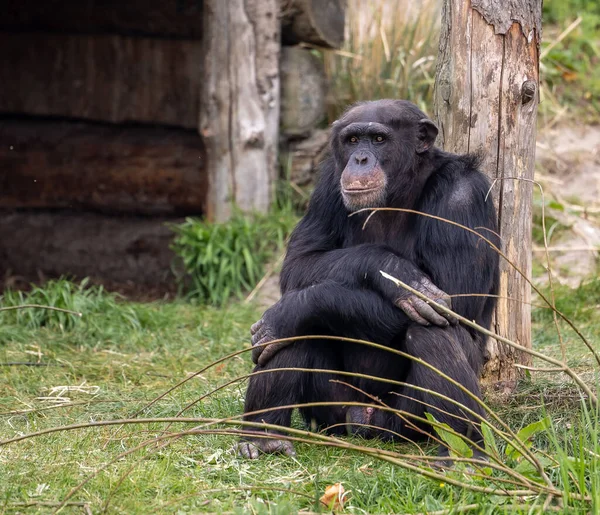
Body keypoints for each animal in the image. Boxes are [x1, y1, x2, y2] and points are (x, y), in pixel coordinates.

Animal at [237, 100, 500, 460]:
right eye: (352, 140)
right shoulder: (328, 183)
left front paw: (288, 311)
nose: (360, 159)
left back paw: (465, 453)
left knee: (431, 332)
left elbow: (455, 304)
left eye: (378, 139)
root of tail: (365, 420)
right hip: (332, 411)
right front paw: (394, 272)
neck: (400, 190)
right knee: (293, 333)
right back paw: (262, 437)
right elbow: (300, 263)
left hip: (404, 422)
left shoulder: (464, 197)